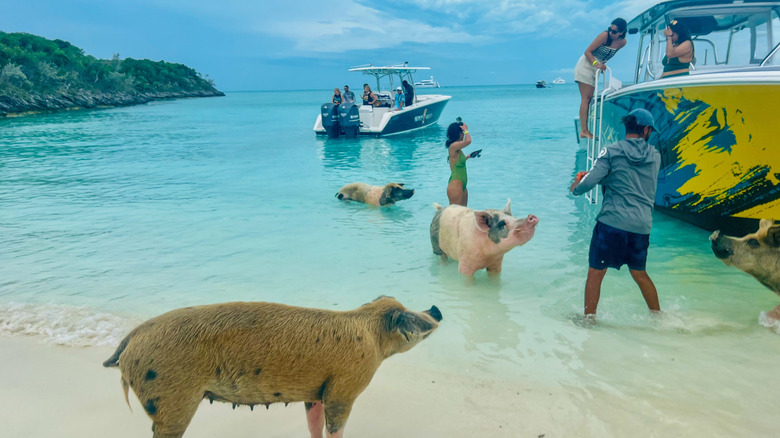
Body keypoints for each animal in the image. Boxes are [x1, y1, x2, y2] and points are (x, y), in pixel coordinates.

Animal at [103, 296, 442, 438]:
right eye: (405, 316)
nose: (436, 308)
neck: (371, 334)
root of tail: (130, 339)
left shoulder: (316, 391)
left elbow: (314, 423)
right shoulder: (344, 389)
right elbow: (336, 426)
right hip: (171, 400)